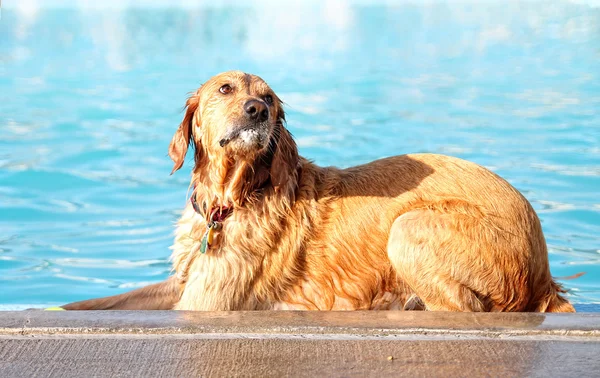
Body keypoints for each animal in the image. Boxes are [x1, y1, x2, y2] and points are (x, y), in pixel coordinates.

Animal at [63, 71, 576, 314]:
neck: (234, 199)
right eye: (225, 89)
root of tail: (544, 273)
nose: (257, 109)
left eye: (270, 98)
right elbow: (89, 303)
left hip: (409, 227)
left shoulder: (205, 301)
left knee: (462, 307)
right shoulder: (187, 281)